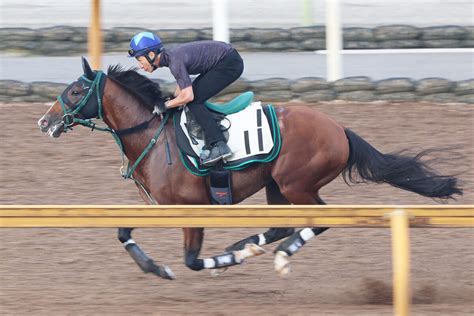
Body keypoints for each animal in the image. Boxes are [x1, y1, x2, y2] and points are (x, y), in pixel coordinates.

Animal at [38, 58, 462, 280]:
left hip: (298, 185)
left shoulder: (192, 208)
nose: (44, 122)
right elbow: (123, 232)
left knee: (317, 220)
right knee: (281, 226)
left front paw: (211, 264)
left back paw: (277, 256)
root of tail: (339, 128)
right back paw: (248, 248)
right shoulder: (158, 206)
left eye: (75, 91)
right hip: (276, 185)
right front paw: (154, 267)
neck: (153, 136)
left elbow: (192, 260)